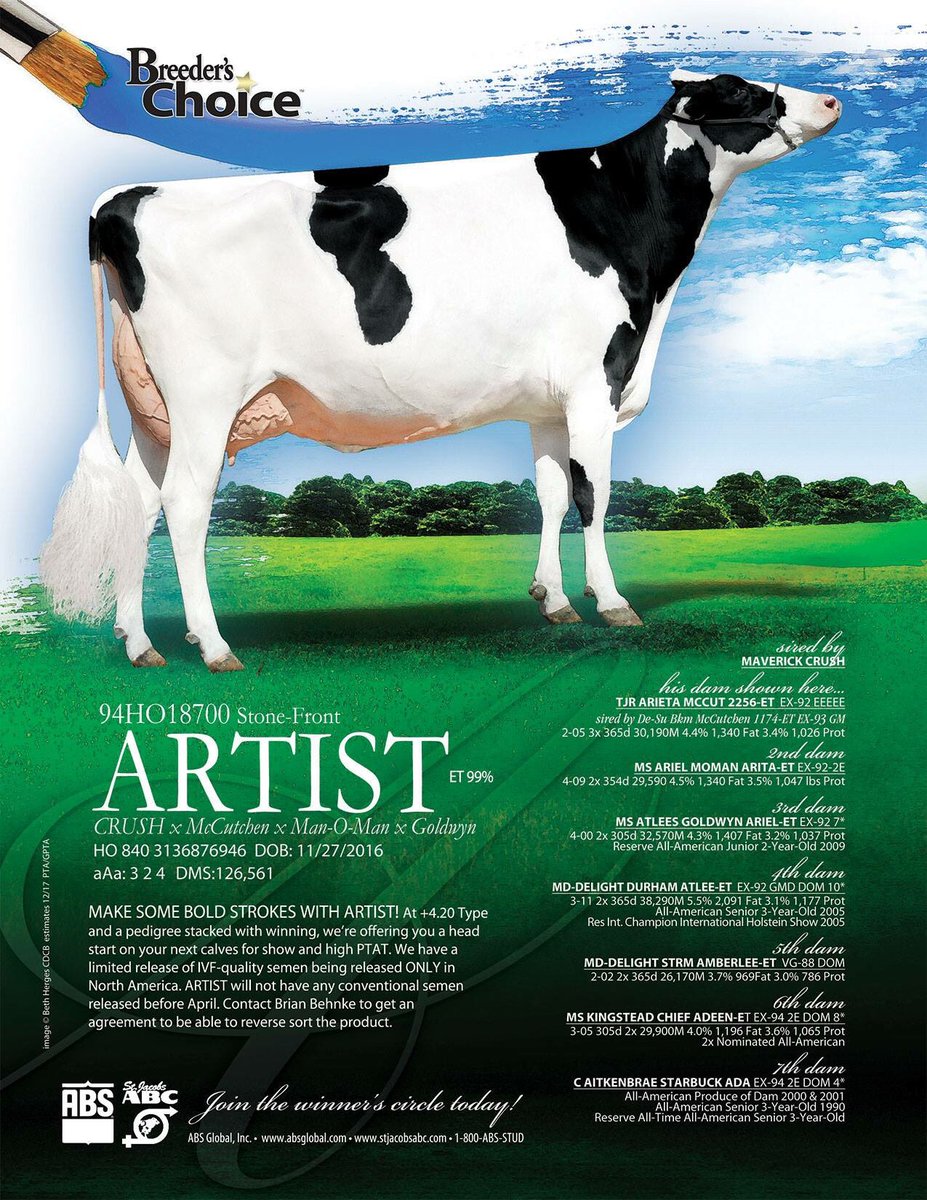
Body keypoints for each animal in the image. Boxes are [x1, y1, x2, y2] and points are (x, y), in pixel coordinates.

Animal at [41, 71, 840, 671]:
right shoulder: (594, 383)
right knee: (184, 505)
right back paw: (212, 646)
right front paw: (612, 604)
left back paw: (138, 642)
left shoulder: (548, 403)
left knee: (140, 503)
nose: (832, 101)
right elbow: (594, 497)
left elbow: (551, 495)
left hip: (155, 410)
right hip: (205, 397)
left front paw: (553, 601)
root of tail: (122, 198)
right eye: (744, 94)